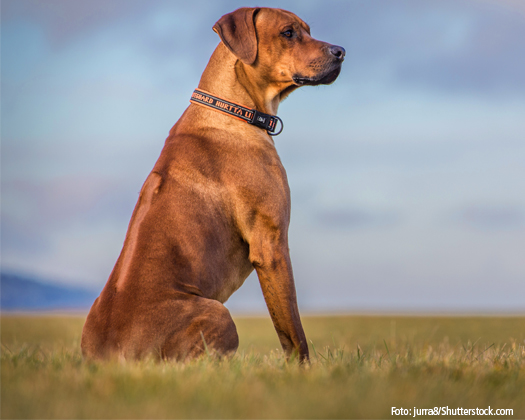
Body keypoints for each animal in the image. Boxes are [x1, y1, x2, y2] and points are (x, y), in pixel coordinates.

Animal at [81, 6, 344, 360]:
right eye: (288, 33)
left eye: (309, 30)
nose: (341, 51)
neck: (233, 110)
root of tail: (111, 354)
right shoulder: (271, 244)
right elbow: (292, 331)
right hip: (217, 313)